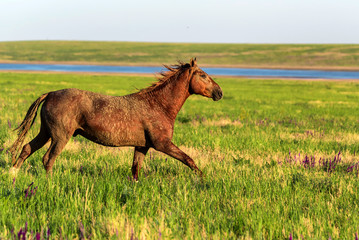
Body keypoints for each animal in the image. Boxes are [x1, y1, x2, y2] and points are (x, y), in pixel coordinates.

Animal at [9, 57, 224, 178]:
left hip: (46, 132)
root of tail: (51, 93)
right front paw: (203, 179)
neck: (159, 105)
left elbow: (135, 170)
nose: (219, 93)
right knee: (48, 159)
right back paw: (50, 183)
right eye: (203, 75)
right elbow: (189, 160)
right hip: (60, 136)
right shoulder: (162, 144)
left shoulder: (142, 146)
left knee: (27, 148)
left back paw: (12, 174)